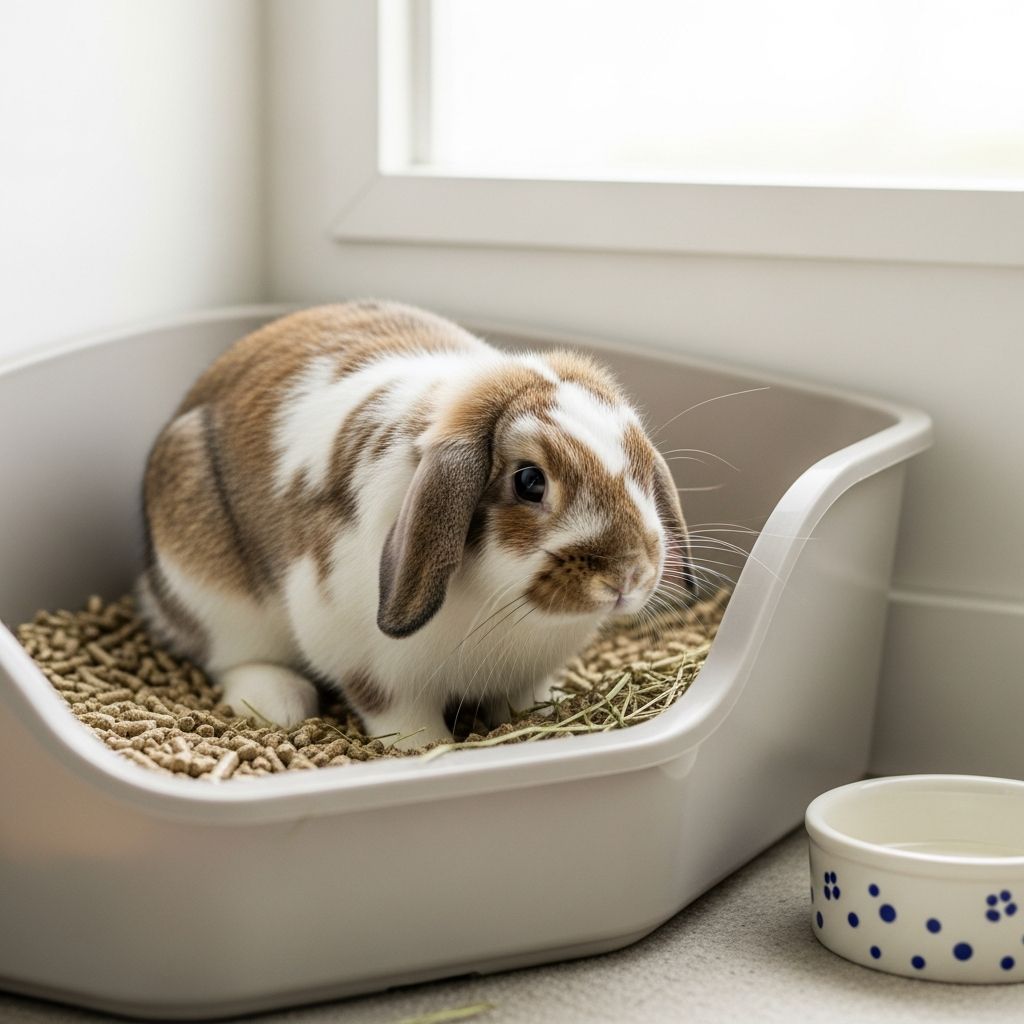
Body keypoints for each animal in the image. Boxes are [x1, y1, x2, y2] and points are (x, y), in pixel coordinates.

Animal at [136, 301, 695, 747]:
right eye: (530, 481)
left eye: (639, 462)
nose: (627, 575)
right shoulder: (377, 672)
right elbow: (402, 719)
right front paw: (426, 749)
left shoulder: (526, 675)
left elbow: (524, 697)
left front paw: (547, 709)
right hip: (211, 590)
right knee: (229, 655)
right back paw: (281, 700)